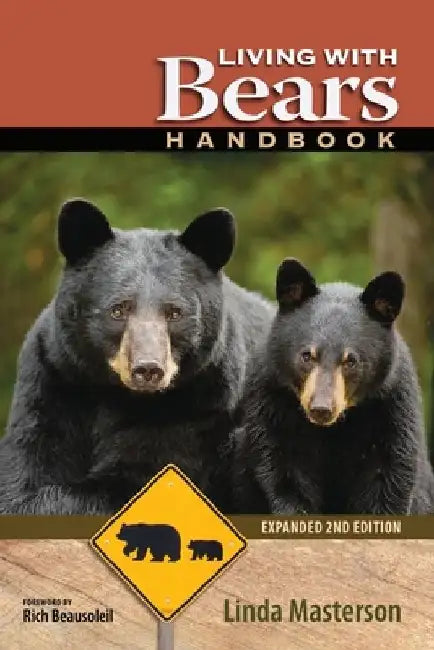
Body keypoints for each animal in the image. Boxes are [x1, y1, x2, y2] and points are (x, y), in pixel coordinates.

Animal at [0, 199, 274, 515]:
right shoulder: (55, 379)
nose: (148, 369)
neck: (115, 393)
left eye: (174, 312)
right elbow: (29, 467)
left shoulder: (200, 408)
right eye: (118, 309)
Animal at [234, 258, 434, 515]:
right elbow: (284, 471)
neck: (334, 428)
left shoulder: (391, 408)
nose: (321, 408)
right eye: (307, 355)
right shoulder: (273, 403)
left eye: (350, 360)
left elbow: (387, 478)